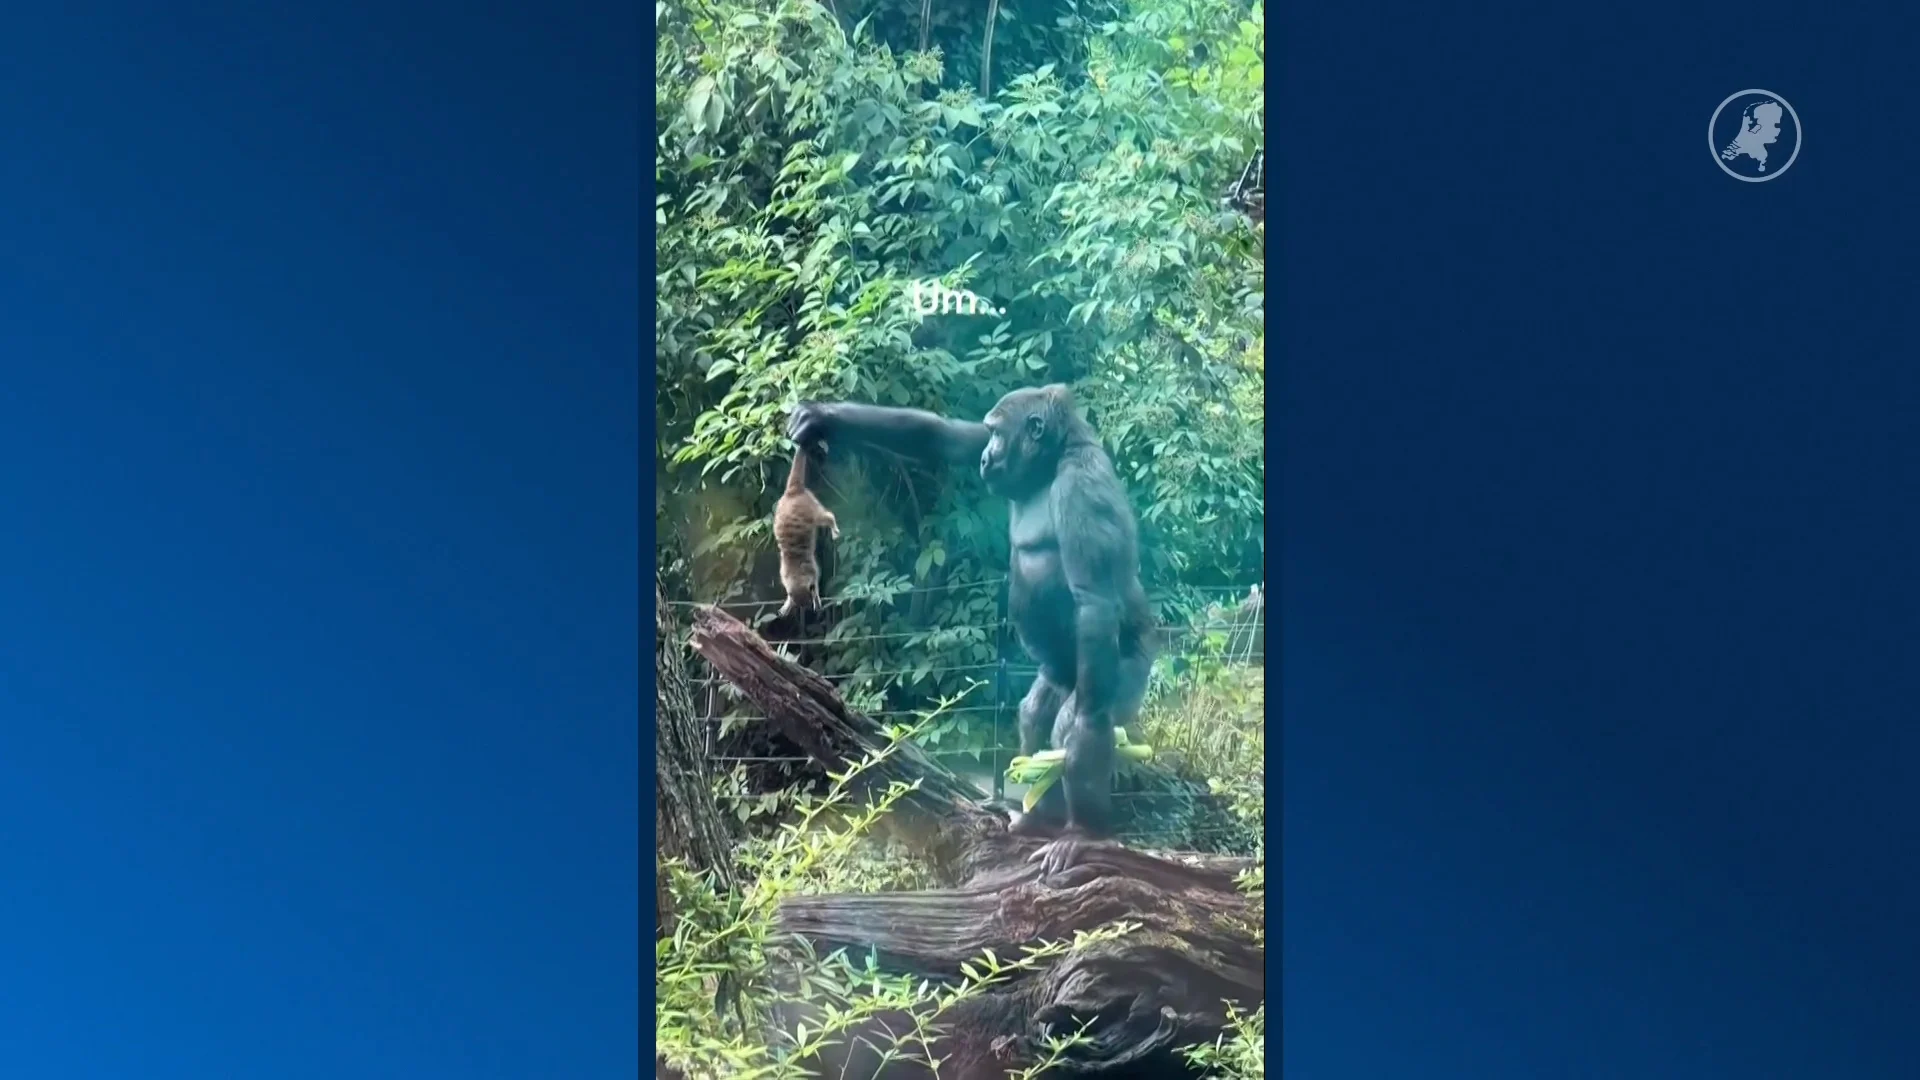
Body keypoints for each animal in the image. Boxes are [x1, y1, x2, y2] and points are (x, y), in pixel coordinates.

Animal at [773, 442, 839, 618]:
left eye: (808, 602)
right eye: (800, 605)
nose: (810, 609)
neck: (796, 570)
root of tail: (793, 491)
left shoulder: (812, 569)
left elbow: (817, 577)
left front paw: (818, 599)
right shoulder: (784, 574)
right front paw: (787, 604)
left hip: (811, 507)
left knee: (827, 516)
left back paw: (834, 530)